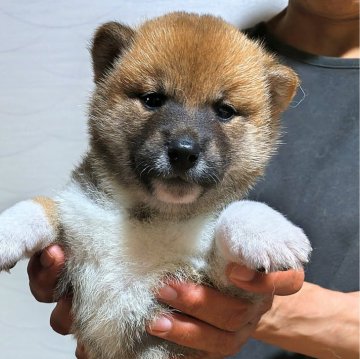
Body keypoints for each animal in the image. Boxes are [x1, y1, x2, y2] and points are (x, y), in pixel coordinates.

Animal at [0, 12, 310, 359]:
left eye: (224, 111)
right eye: (153, 100)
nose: (184, 152)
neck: (154, 215)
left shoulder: (217, 284)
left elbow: (237, 213)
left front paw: (268, 232)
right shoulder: (76, 227)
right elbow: (42, 205)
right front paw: (8, 230)